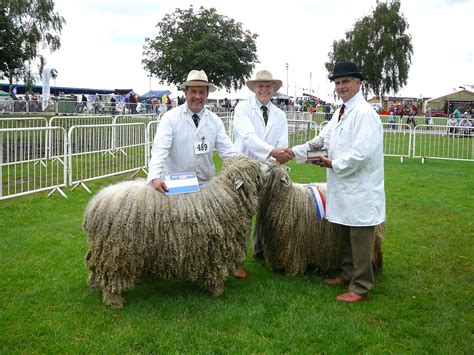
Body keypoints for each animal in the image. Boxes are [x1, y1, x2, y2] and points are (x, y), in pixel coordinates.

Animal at [83, 156, 264, 308]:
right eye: (255, 169)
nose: (266, 164)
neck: (226, 197)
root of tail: (94, 206)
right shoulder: (214, 252)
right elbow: (215, 273)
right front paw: (217, 290)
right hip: (116, 252)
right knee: (112, 277)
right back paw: (114, 301)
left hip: (102, 249)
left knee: (96, 270)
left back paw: (95, 287)